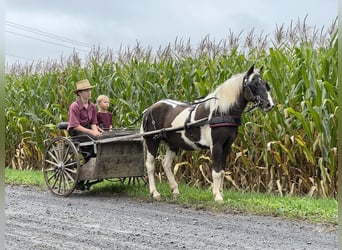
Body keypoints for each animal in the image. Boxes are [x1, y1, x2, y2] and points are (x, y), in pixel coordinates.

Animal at [140, 65, 274, 202]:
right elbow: (216, 172)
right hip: (151, 141)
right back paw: (155, 192)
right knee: (150, 165)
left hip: (172, 144)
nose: (270, 104)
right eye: (255, 84)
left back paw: (175, 190)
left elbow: (222, 171)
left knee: (166, 164)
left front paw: (220, 193)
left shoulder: (227, 146)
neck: (221, 112)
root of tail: (149, 109)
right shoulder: (216, 146)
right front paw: (217, 196)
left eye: (265, 84)